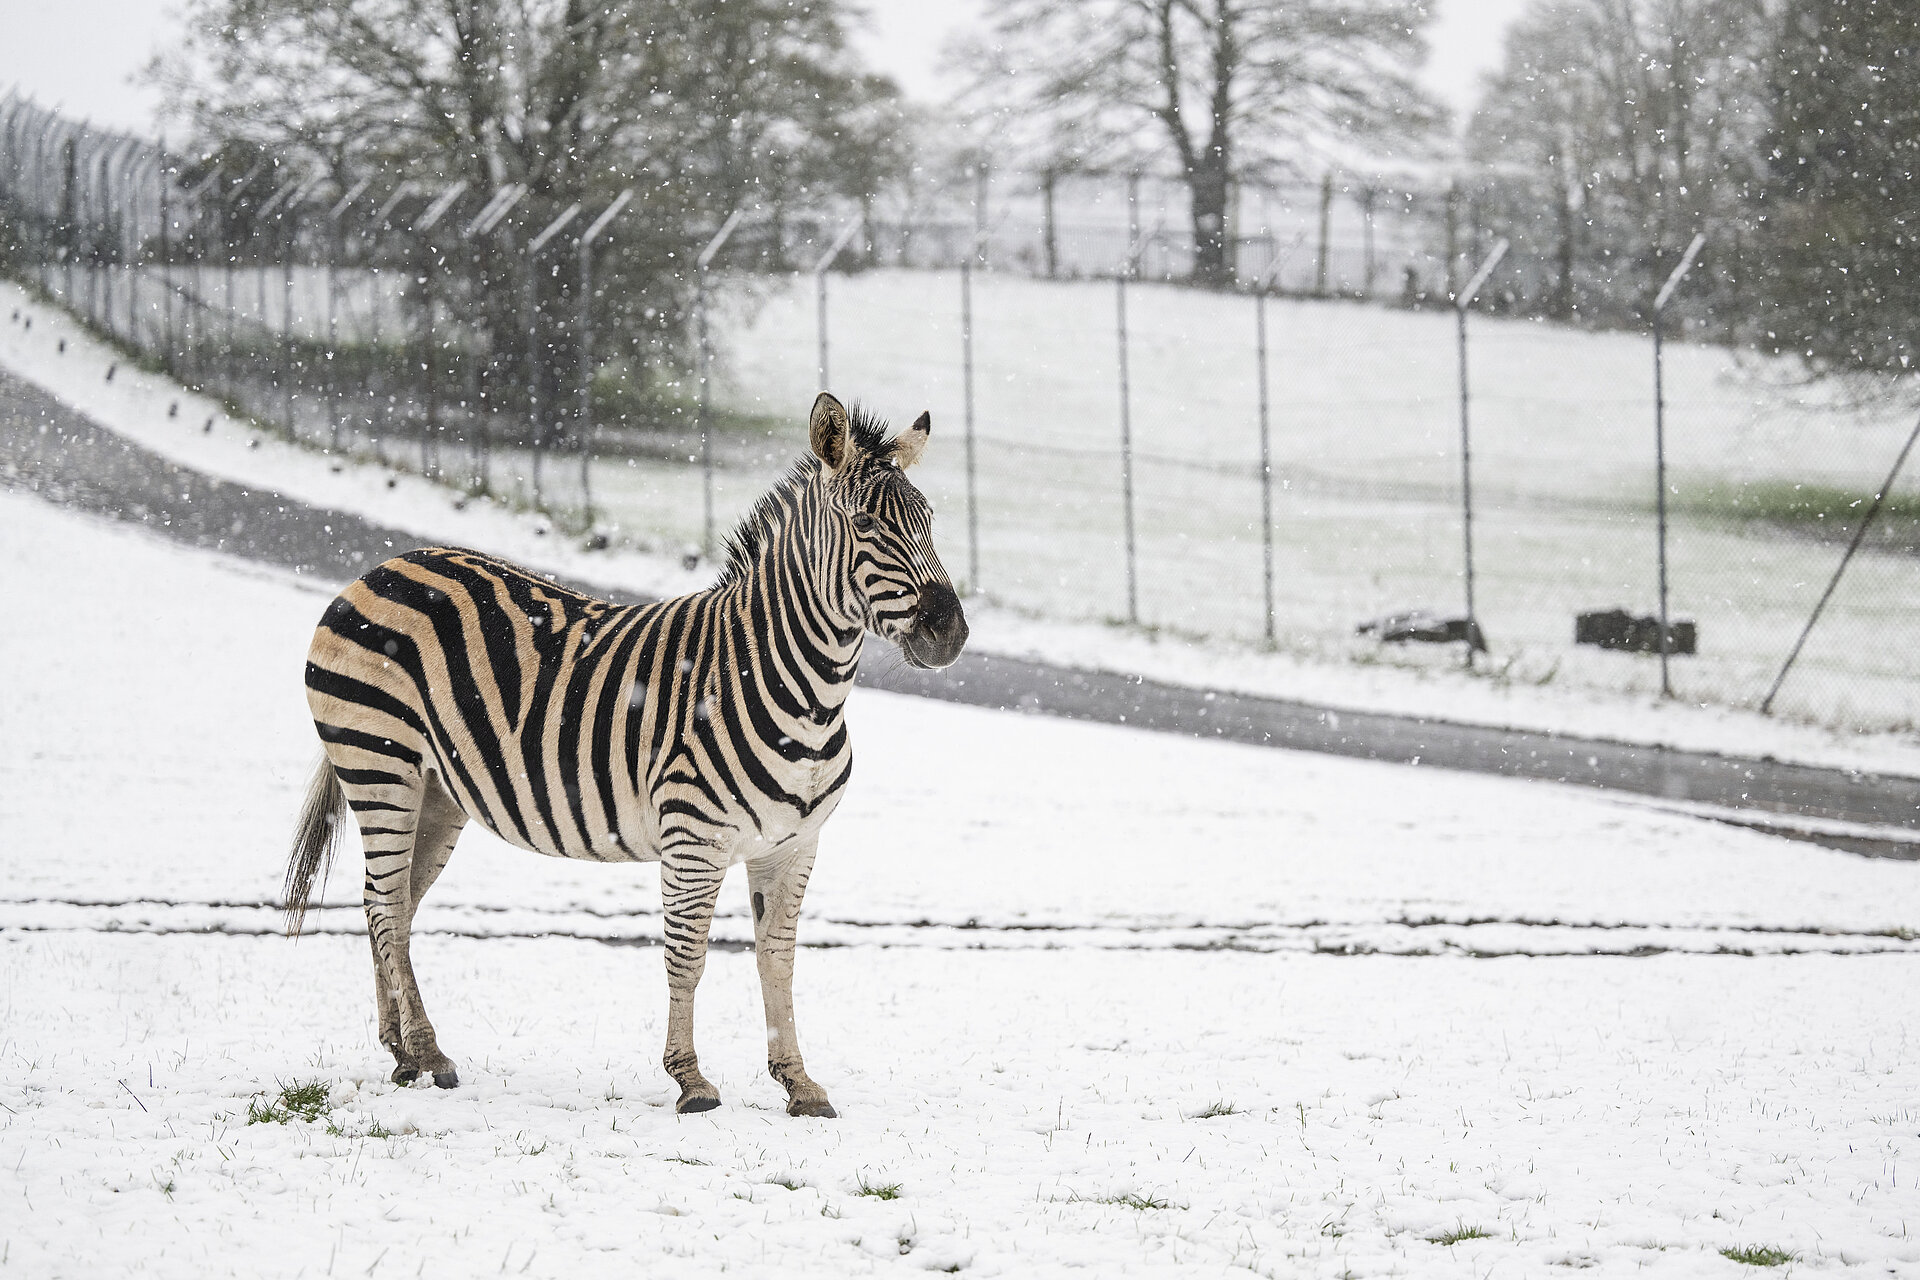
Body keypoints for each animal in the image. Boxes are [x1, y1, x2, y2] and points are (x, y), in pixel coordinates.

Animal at [282, 392, 968, 1118]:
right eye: (866, 524)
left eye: (928, 522)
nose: (951, 631)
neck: (805, 697)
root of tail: (379, 569)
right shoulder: (694, 840)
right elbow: (688, 956)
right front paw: (690, 1080)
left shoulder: (793, 846)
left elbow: (777, 959)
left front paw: (799, 1083)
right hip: (380, 765)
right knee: (385, 904)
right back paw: (427, 1052)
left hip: (438, 791)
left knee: (391, 905)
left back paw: (403, 1051)